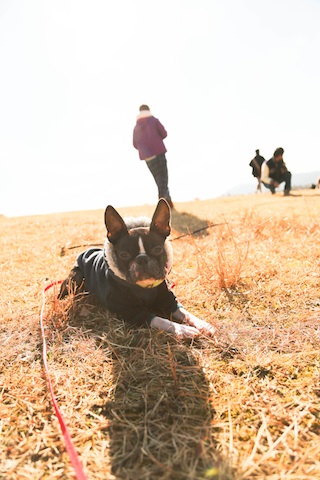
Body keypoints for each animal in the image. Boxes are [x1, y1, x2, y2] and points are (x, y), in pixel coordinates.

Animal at [60, 199, 215, 338]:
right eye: (124, 255)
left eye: (158, 249)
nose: (142, 258)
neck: (144, 288)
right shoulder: (130, 311)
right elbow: (162, 320)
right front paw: (182, 329)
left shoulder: (168, 300)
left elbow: (185, 313)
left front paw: (203, 324)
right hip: (76, 276)